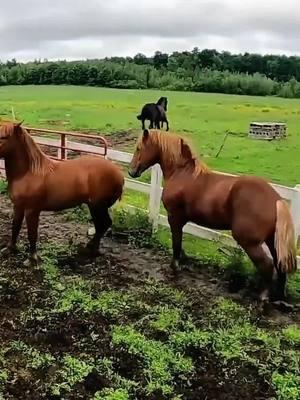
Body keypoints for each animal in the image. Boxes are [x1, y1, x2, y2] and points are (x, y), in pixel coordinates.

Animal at [0, 122, 124, 266]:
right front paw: (10, 249)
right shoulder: (18, 206)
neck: (28, 173)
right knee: (101, 225)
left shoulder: (32, 210)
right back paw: (91, 250)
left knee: (103, 224)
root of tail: (119, 174)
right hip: (95, 206)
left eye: (4, 137)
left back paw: (90, 249)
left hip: (97, 206)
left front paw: (32, 259)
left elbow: (32, 233)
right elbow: (15, 227)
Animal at [127, 130, 296, 302]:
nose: (131, 171)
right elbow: (179, 242)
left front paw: (175, 267)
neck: (182, 173)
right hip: (271, 241)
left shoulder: (174, 217)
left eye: (139, 148)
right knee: (280, 264)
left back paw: (263, 297)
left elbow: (176, 242)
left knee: (267, 265)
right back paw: (279, 296)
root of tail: (276, 200)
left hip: (251, 243)